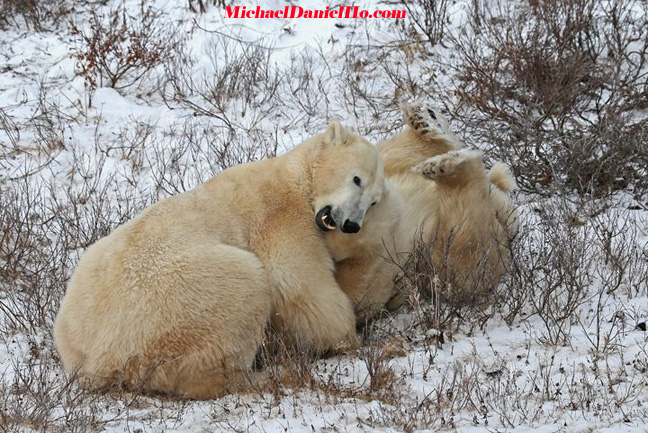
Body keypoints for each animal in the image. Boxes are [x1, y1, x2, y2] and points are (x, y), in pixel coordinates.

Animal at [54, 121, 384, 398]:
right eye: (357, 179)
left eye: (374, 202)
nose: (351, 224)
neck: (294, 177)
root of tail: (101, 360)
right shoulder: (278, 217)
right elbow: (299, 281)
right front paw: (350, 338)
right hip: (184, 299)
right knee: (245, 288)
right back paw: (258, 376)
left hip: (82, 293)